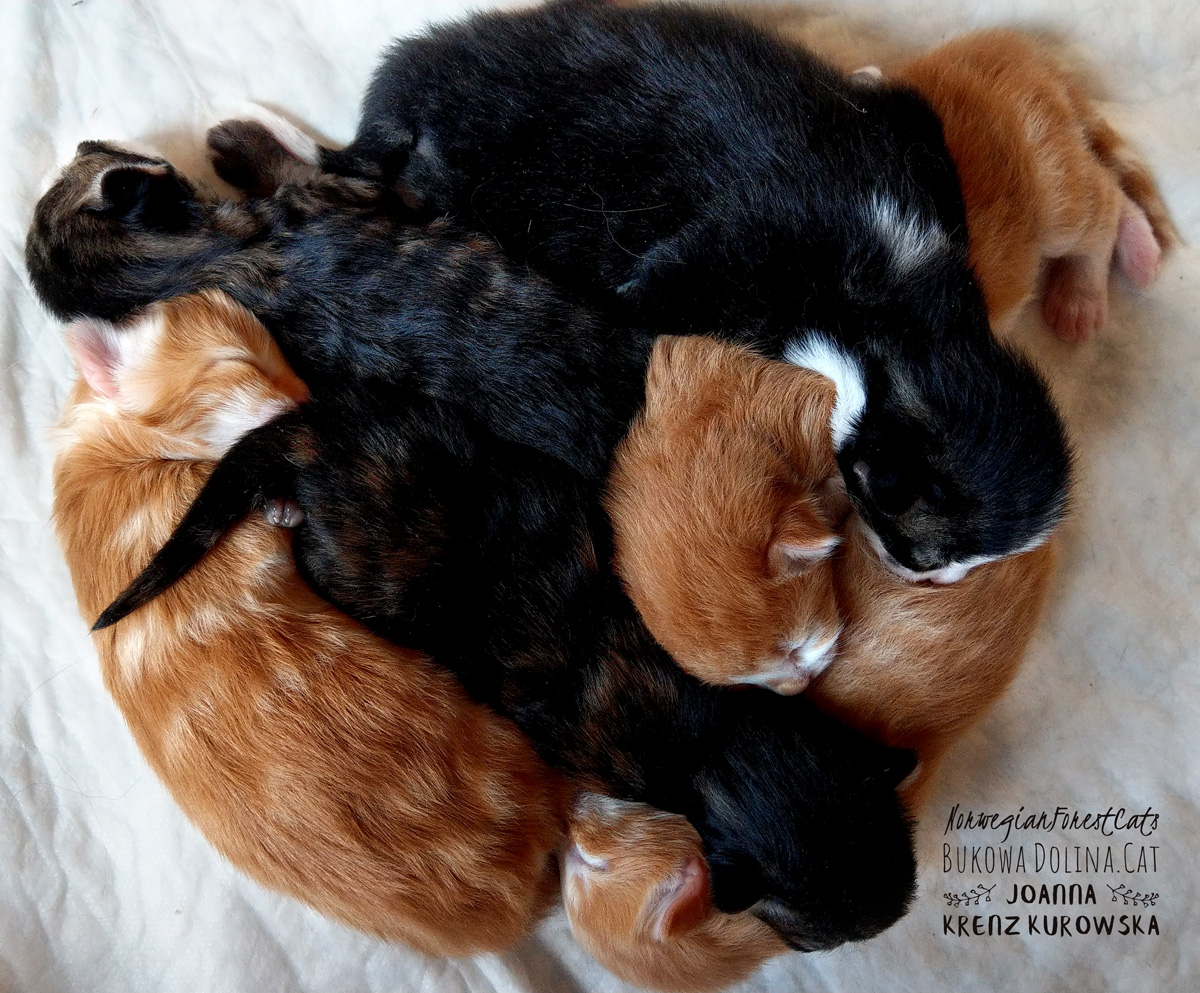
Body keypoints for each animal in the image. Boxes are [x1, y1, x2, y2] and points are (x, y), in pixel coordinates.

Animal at [306, 0, 1072, 583]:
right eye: (916, 544)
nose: (914, 576)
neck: (901, 302)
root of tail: (400, 100)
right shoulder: (758, 241)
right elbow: (664, 283)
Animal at [889, 29, 1176, 342]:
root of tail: (1018, 46)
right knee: (1109, 185)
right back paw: (1140, 251)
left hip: (1051, 180)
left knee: (1104, 203)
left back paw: (1081, 299)